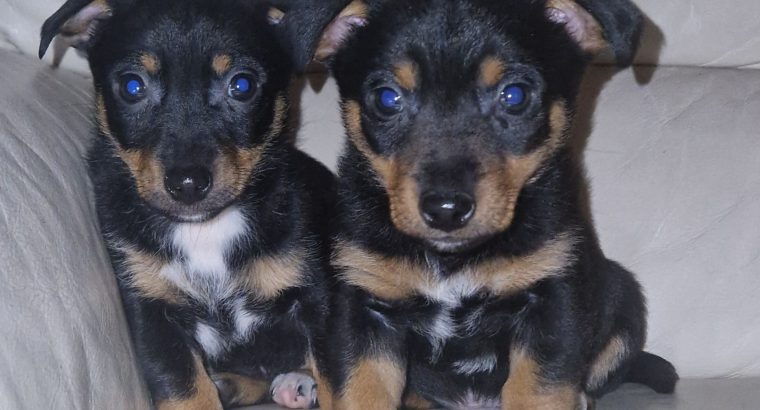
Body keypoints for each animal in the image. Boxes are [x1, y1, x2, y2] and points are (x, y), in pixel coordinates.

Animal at [37, 0, 342, 408]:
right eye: (131, 86)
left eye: (242, 85)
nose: (187, 185)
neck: (206, 228)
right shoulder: (152, 310)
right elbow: (183, 389)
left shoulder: (318, 298)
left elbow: (343, 382)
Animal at [314, 0, 676, 410]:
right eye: (386, 99)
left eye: (514, 95)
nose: (446, 209)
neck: (453, 260)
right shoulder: (364, 308)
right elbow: (359, 393)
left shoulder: (551, 300)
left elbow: (538, 391)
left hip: (623, 301)